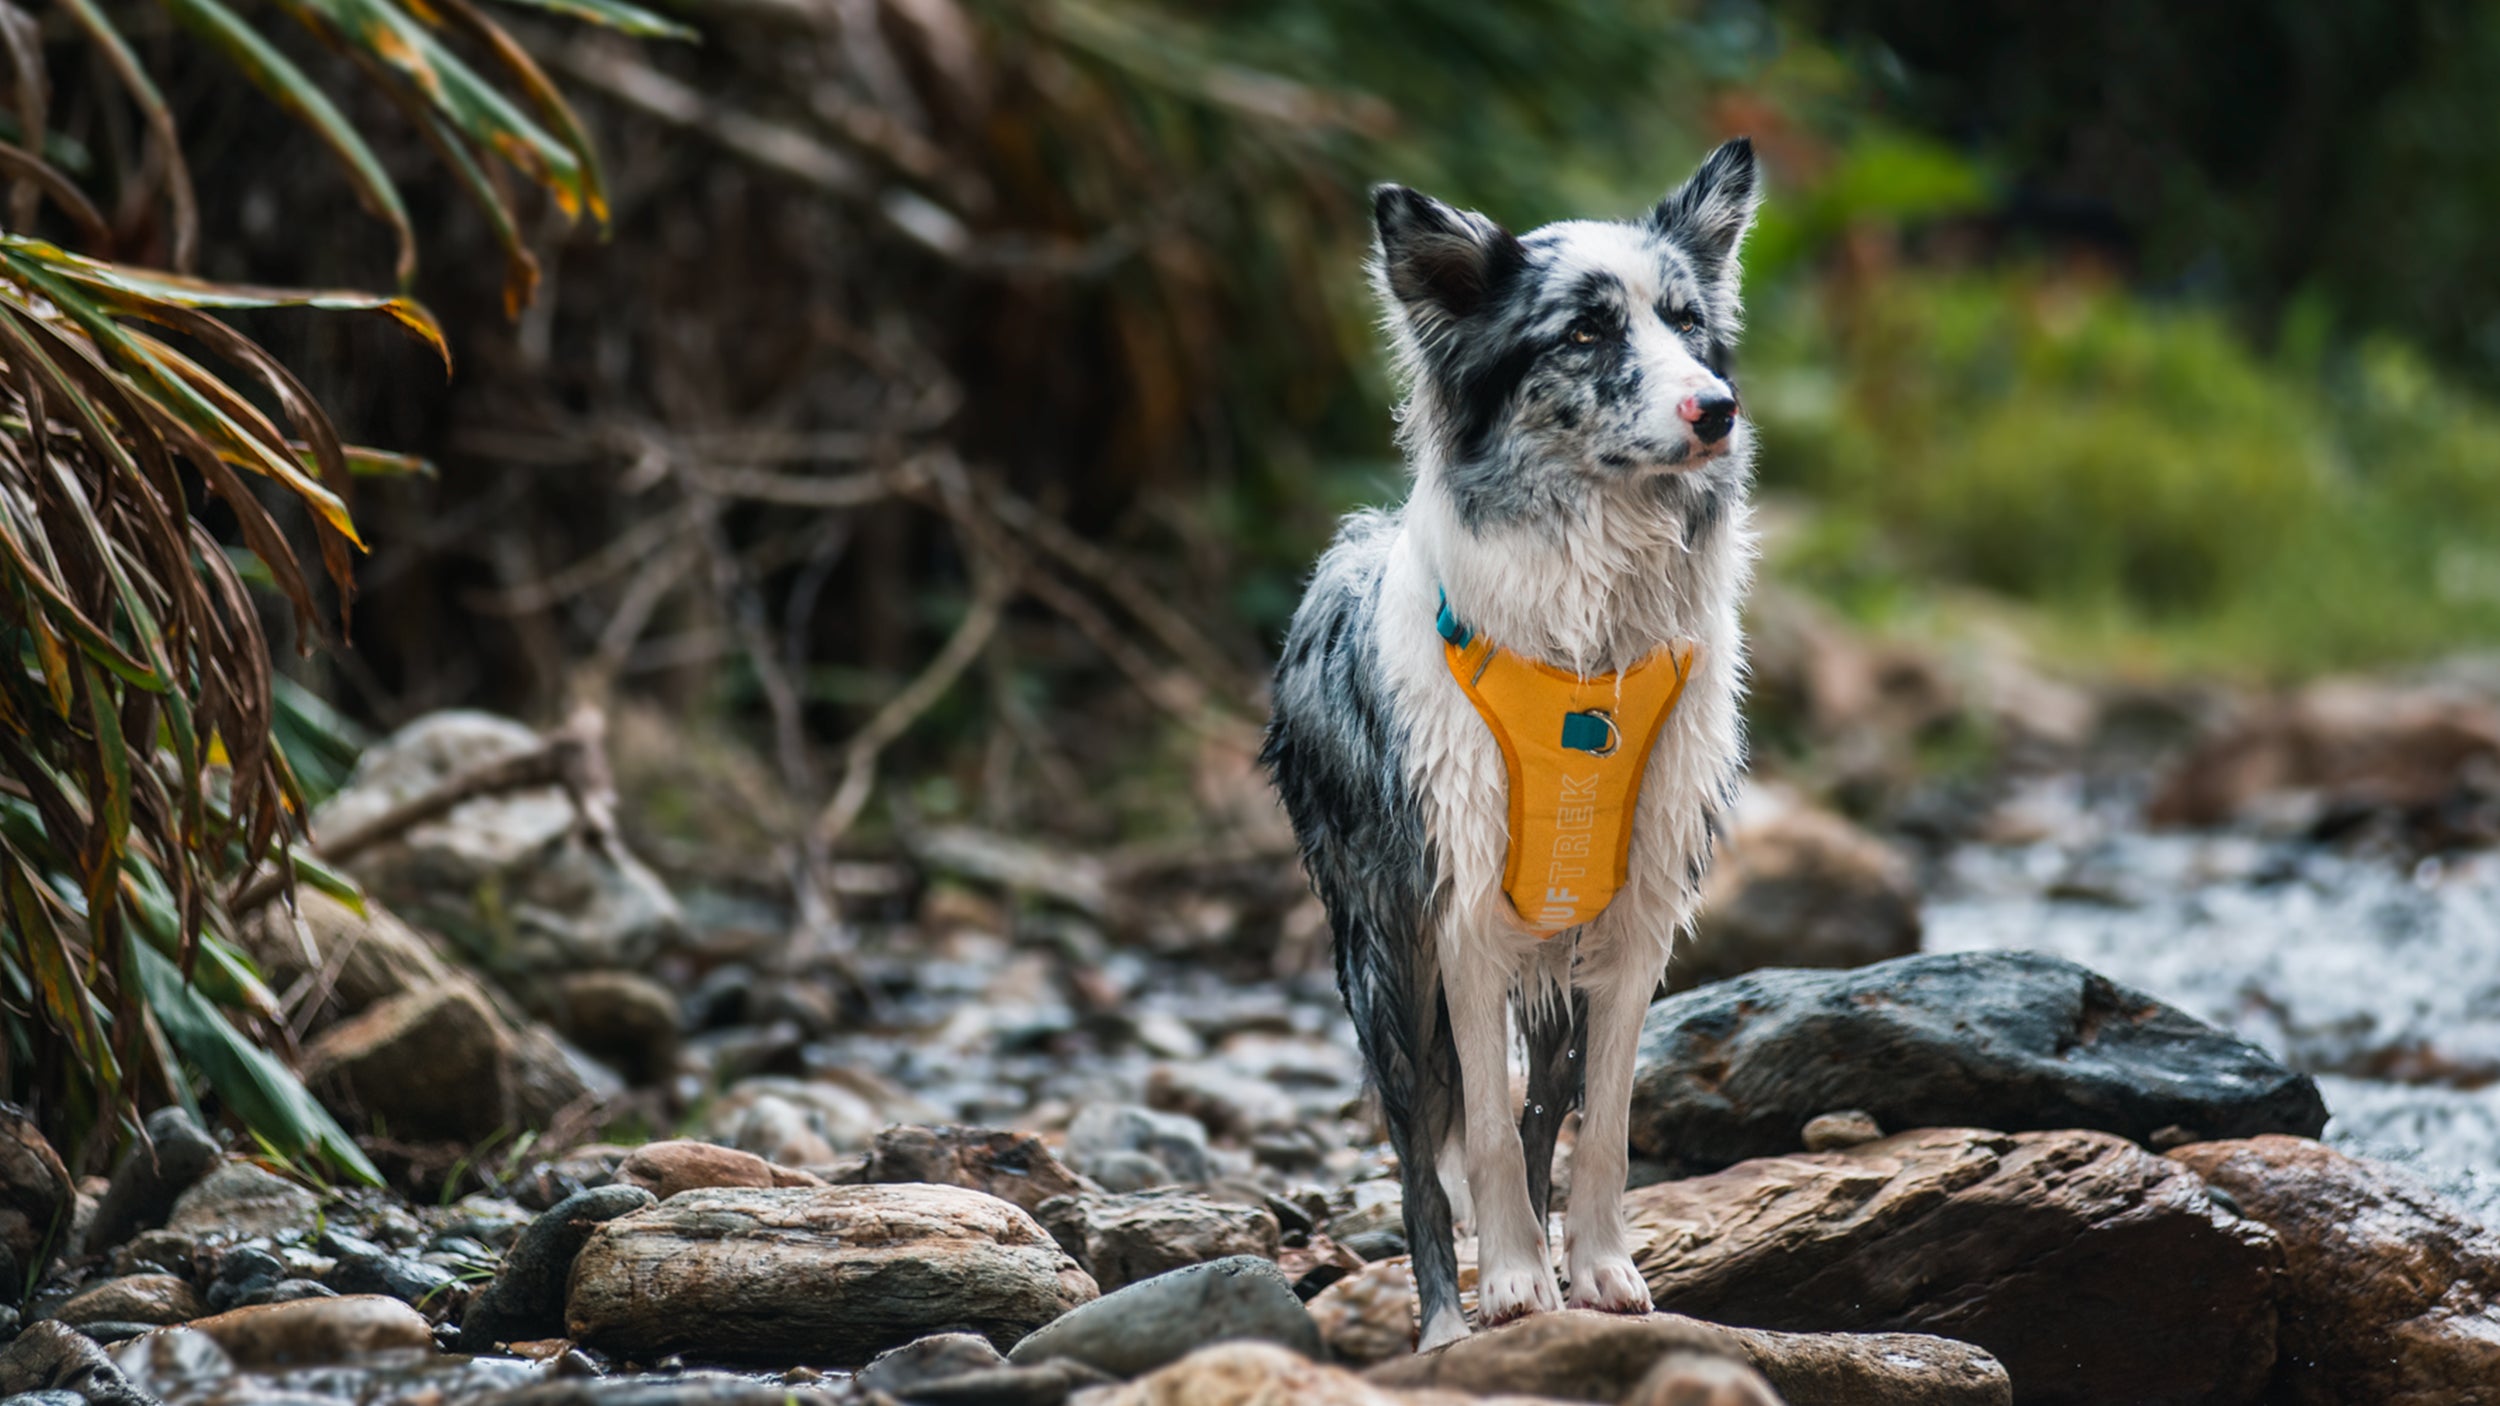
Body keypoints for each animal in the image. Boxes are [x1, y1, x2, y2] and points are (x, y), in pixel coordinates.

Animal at [1270, 136, 1760, 1340]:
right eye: (1582, 332)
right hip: (1382, 963)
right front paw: (1509, 1284)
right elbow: (1479, 1137)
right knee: (1419, 1154)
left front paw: (1598, 1268)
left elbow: (1603, 1125)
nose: (1717, 409)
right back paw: (1448, 1320)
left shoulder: (1637, 919)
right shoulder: (1458, 914)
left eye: (1687, 321)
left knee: (1547, 1113)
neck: (1587, 637)